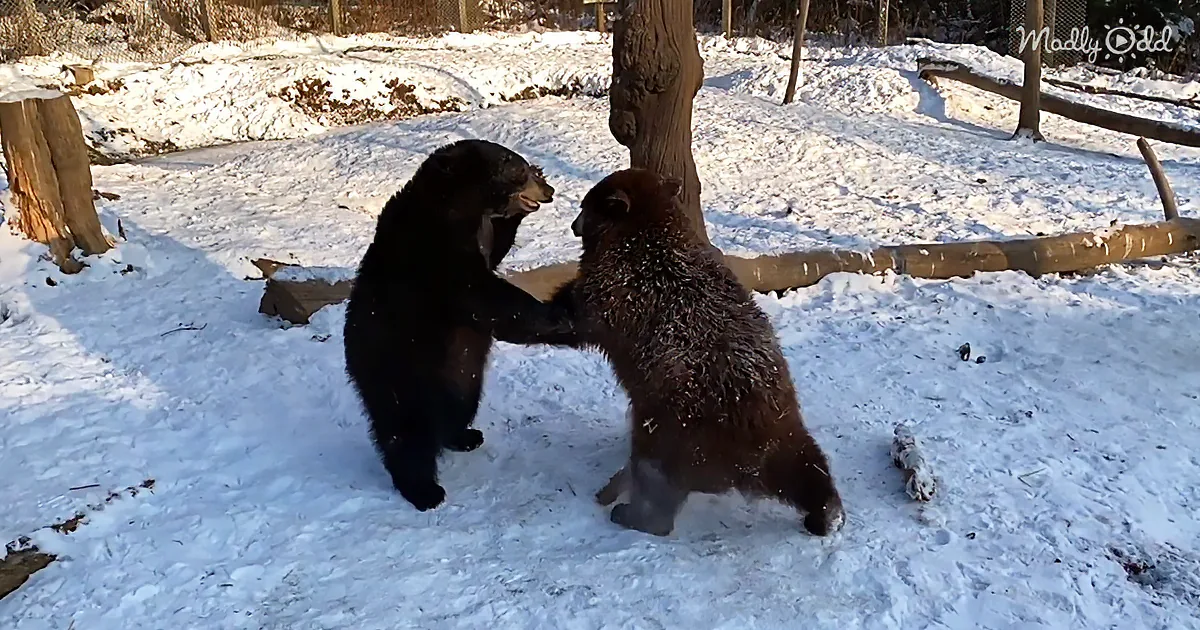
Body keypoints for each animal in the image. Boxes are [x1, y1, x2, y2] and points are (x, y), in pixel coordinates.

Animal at [343, 139, 576, 512]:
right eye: (518, 168)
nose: (548, 189)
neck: (458, 205)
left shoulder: (480, 233)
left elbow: (496, 251)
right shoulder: (432, 247)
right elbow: (481, 291)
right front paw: (557, 316)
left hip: (462, 375)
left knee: (460, 405)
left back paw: (465, 435)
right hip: (402, 374)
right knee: (408, 434)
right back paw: (424, 490)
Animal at [546, 168, 845, 537]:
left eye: (587, 206)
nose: (574, 224)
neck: (645, 235)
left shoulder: (618, 289)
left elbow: (576, 317)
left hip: (681, 427)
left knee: (658, 476)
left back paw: (634, 513)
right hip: (782, 427)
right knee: (809, 467)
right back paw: (826, 511)